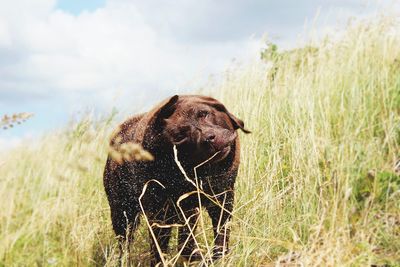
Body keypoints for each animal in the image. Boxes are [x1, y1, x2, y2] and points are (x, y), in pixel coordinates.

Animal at [102, 94, 250, 266]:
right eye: (180, 137)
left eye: (204, 113)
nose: (209, 138)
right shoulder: (160, 215)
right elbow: (161, 248)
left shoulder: (221, 200)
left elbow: (219, 236)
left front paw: (217, 257)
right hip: (122, 215)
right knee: (125, 245)